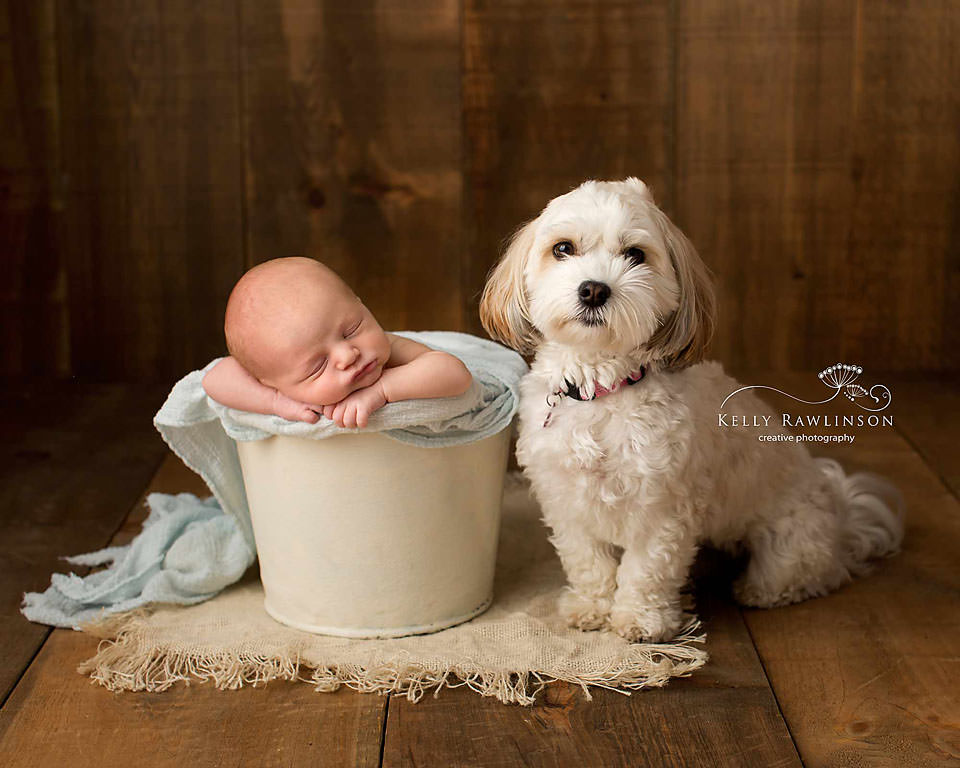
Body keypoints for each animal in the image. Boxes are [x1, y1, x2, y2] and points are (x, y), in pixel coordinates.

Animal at [484, 178, 904, 640]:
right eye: (562, 249)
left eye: (636, 254)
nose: (593, 289)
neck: (603, 388)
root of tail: (843, 513)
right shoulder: (567, 500)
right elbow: (588, 561)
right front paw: (590, 608)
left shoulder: (662, 507)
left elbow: (645, 569)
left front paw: (639, 620)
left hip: (791, 536)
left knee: (810, 571)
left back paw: (764, 590)